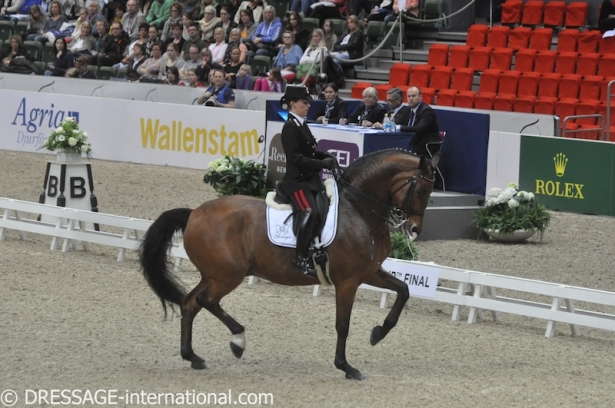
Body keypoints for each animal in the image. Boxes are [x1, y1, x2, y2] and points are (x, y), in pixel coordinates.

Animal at [140, 148, 438, 380]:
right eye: (422, 189)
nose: (414, 229)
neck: (358, 209)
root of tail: (193, 214)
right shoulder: (348, 281)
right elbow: (343, 324)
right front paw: (346, 367)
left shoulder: (369, 272)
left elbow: (403, 290)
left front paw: (378, 333)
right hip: (227, 276)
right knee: (206, 301)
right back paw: (238, 341)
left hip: (214, 275)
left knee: (191, 304)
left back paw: (194, 357)